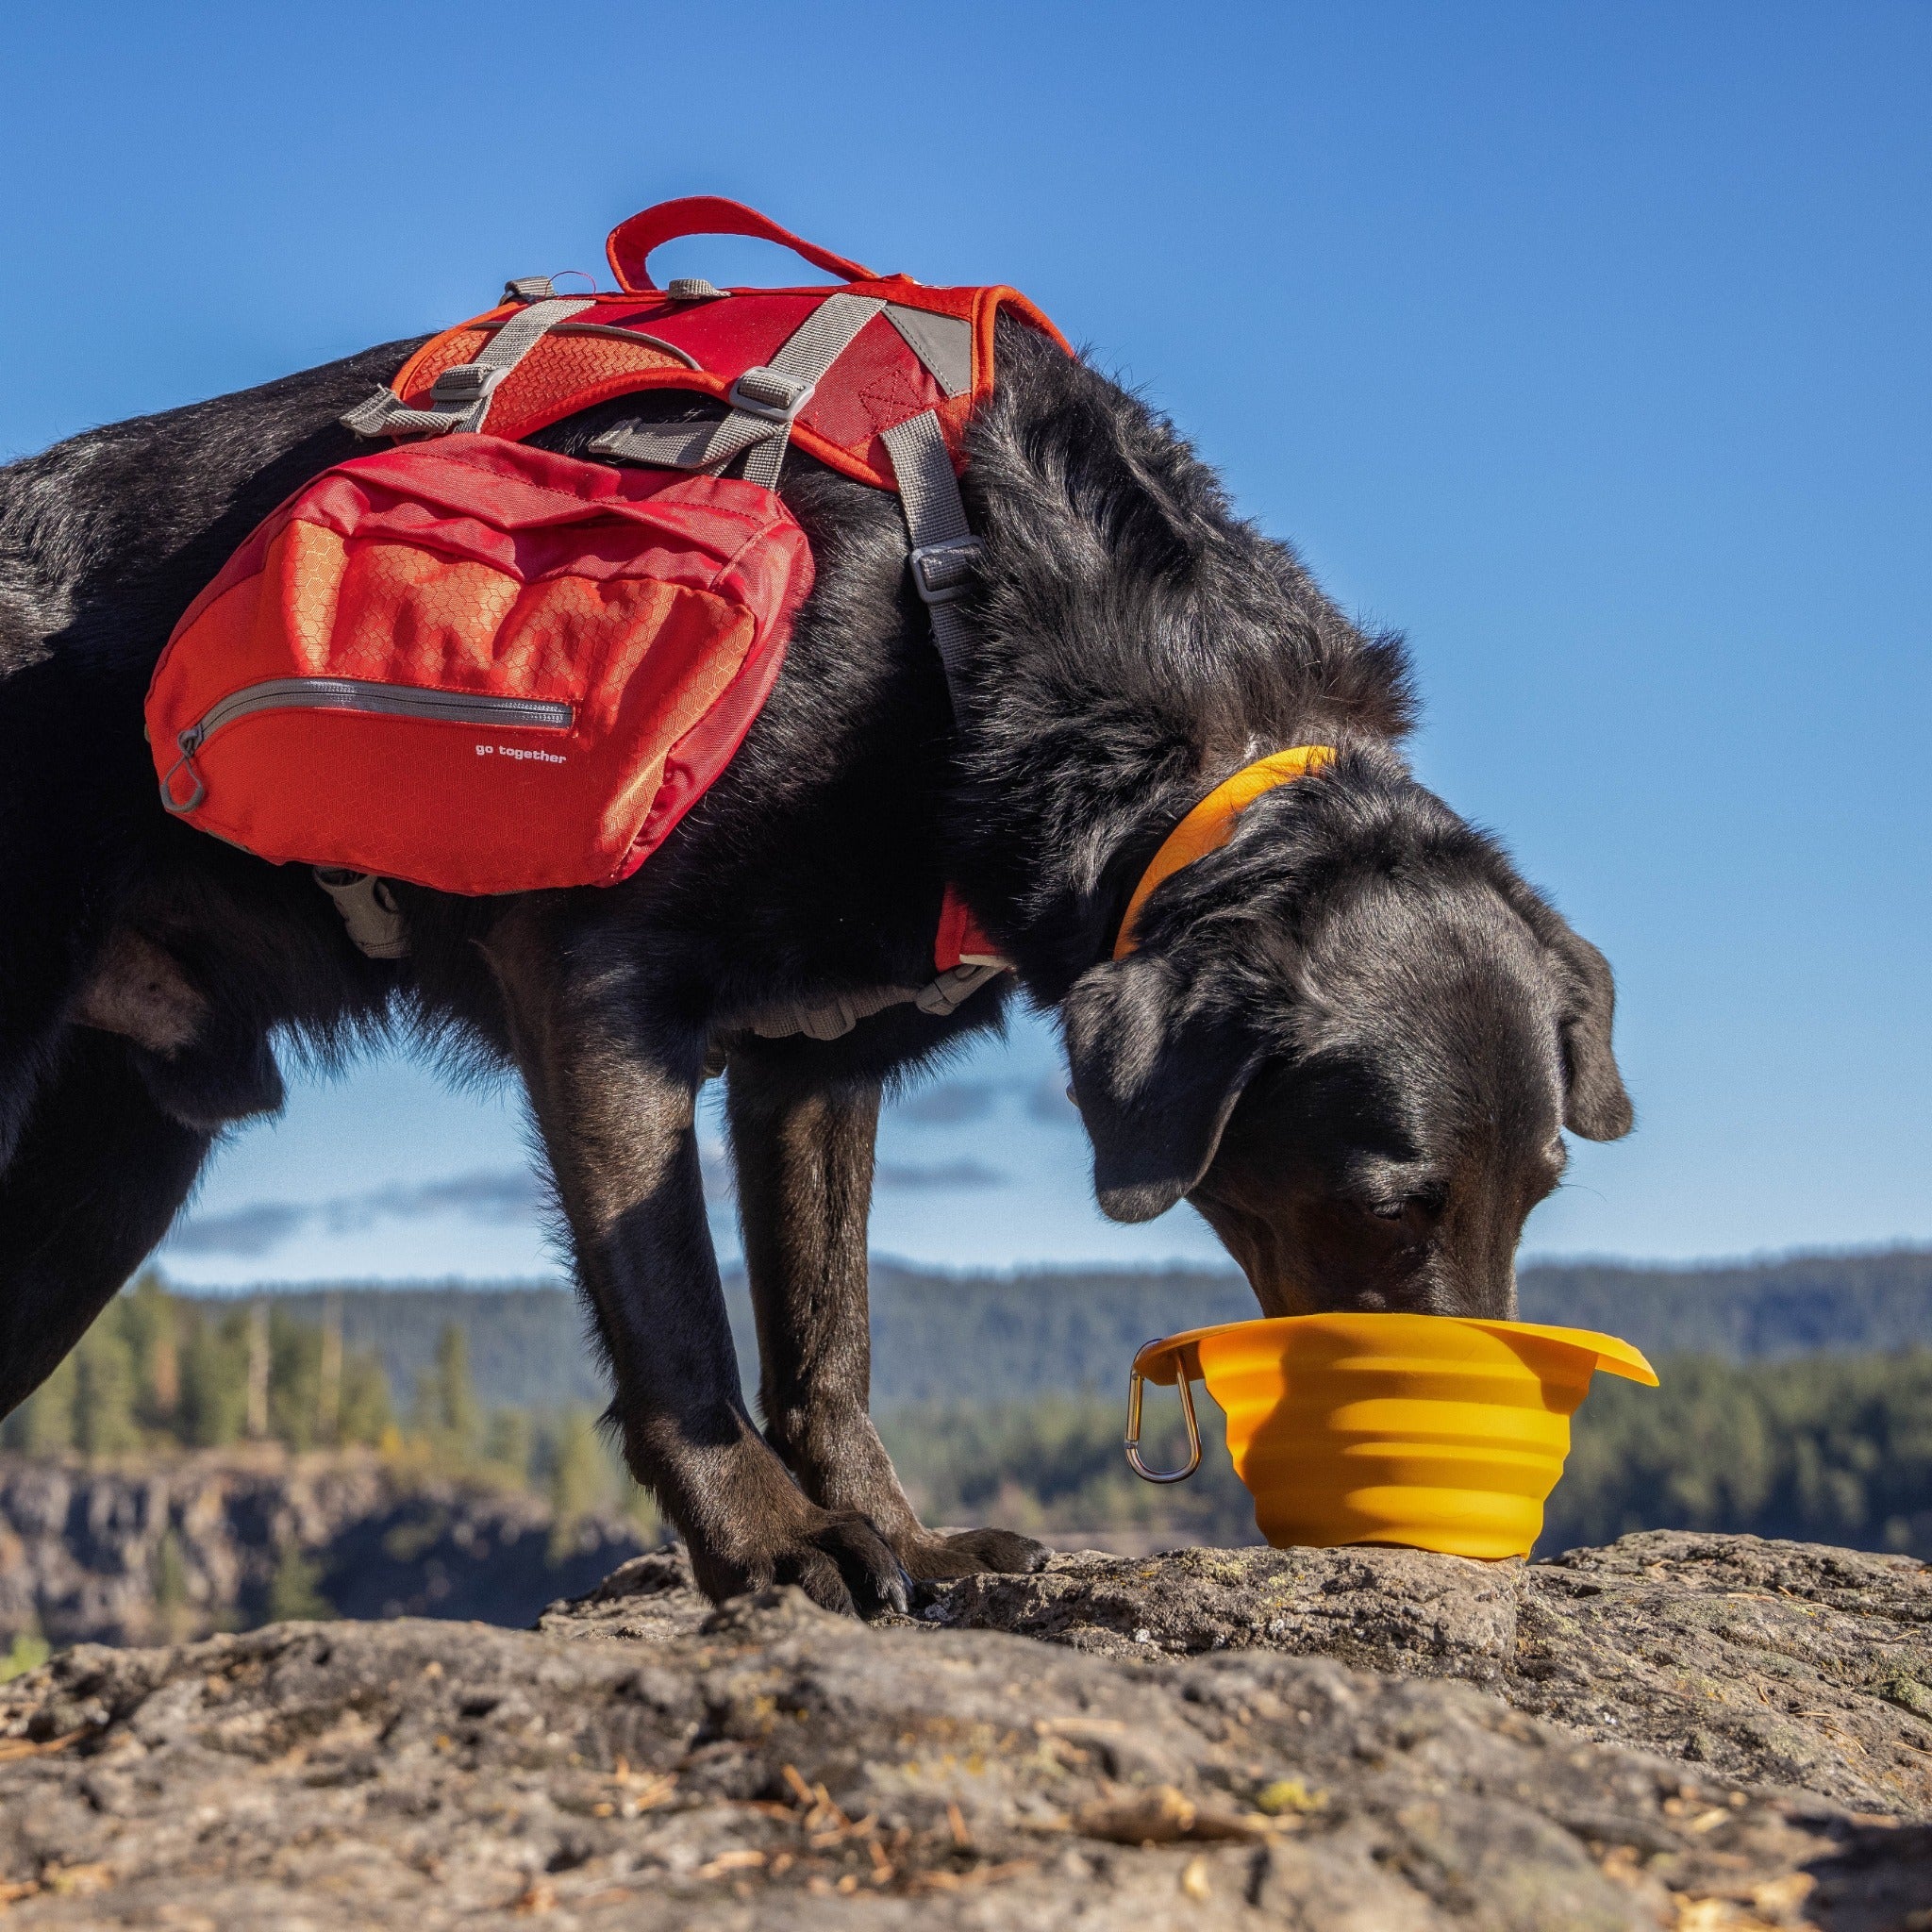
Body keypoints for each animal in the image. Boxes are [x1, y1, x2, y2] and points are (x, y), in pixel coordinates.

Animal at [0, 320, 1630, 1615]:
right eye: (1388, 1203)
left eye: (1544, 1190)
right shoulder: (599, 993)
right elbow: (676, 1314)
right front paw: (770, 1543)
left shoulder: (810, 1067)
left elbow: (827, 1334)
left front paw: (899, 1531)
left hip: (109, 1171)